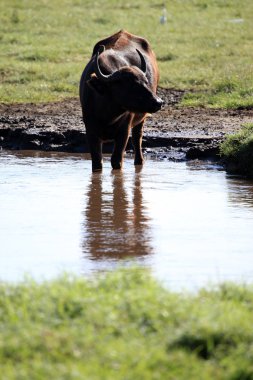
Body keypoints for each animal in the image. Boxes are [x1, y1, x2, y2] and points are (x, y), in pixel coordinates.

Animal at [79, 30, 163, 171]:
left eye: (145, 81)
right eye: (131, 85)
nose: (158, 102)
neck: (106, 115)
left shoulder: (124, 132)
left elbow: (116, 160)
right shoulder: (90, 132)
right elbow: (97, 162)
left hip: (141, 119)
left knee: (137, 138)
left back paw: (139, 161)